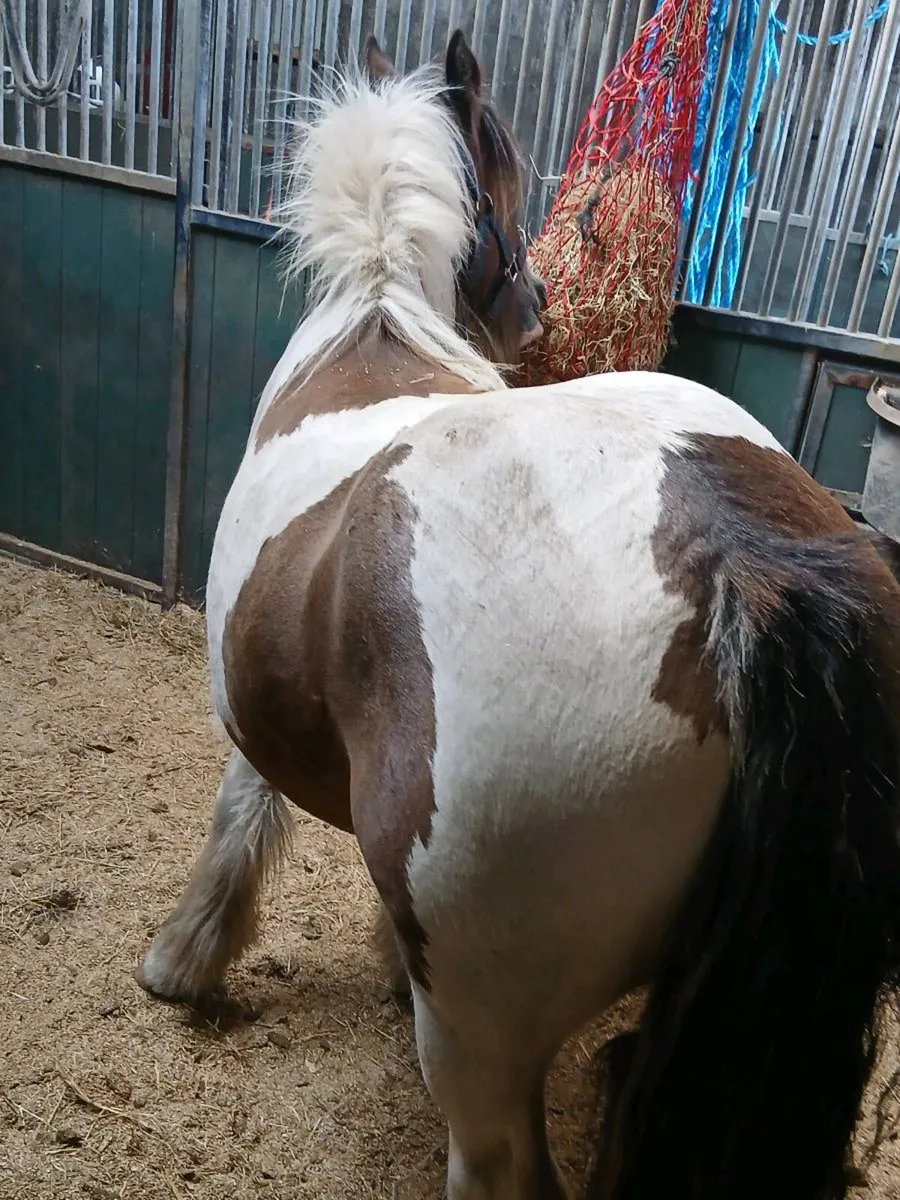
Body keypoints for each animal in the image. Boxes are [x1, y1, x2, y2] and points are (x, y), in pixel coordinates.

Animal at [136, 31, 900, 1200]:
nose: (535, 302)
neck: (374, 328)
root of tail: (733, 561)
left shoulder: (252, 716)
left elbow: (239, 819)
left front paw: (183, 961)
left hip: (483, 1044)